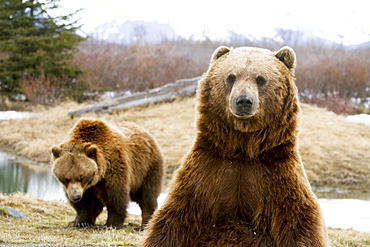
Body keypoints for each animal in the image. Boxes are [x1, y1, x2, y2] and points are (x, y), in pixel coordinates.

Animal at [143, 45, 328, 245]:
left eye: (261, 79)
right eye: (231, 76)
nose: (243, 101)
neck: (243, 149)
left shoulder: (279, 175)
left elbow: (299, 224)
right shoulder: (205, 172)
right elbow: (173, 220)